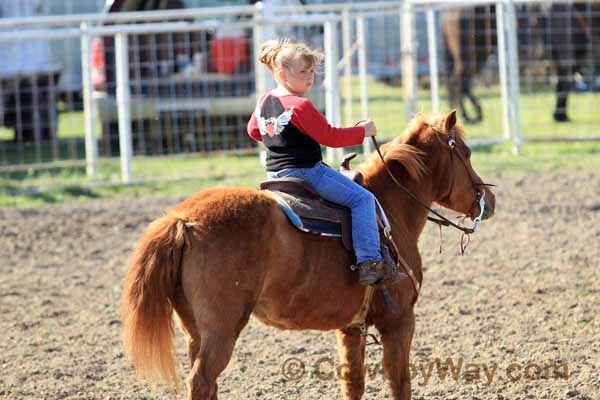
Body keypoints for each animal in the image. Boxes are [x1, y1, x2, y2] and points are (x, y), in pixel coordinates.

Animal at [120, 111, 496, 400]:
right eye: (466, 152)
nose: (488, 201)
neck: (389, 207)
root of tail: (183, 220)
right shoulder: (400, 319)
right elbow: (399, 382)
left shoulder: (352, 327)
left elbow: (353, 383)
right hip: (221, 330)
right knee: (201, 381)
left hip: (194, 329)